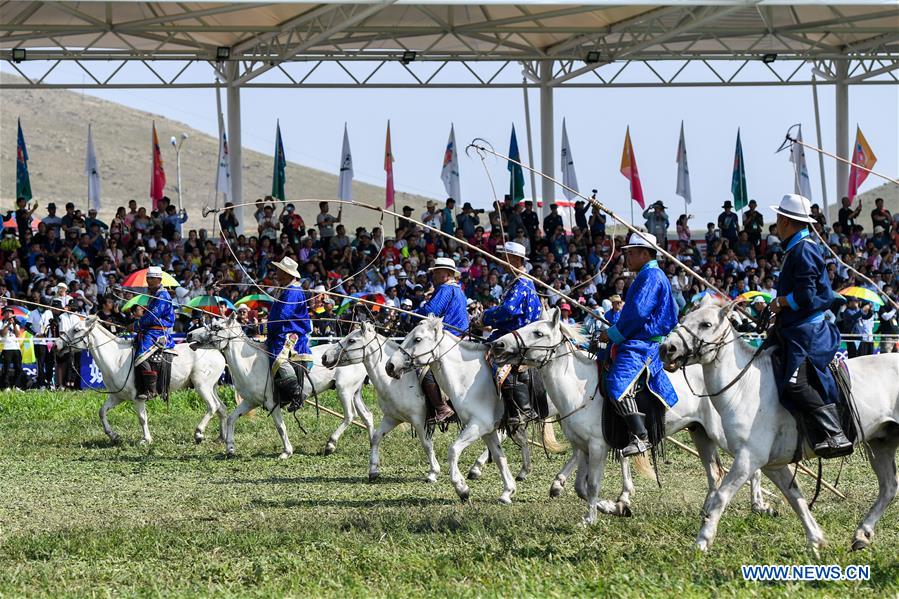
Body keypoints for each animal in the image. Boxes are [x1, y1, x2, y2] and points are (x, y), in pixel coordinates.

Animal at [57, 316, 229, 448]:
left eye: (76, 329)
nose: (58, 344)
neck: (116, 359)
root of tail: (216, 351)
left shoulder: (137, 397)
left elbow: (142, 418)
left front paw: (146, 439)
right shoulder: (117, 397)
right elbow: (102, 412)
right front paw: (113, 436)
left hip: (202, 386)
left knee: (212, 406)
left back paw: (199, 433)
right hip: (211, 387)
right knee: (221, 408)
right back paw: (222, 437)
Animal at [188, 316, 374, 462]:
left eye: (216, 327)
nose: (189, 335)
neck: (250, 364)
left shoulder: (272, 403)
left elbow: (280, 426)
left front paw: (287, 452)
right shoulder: (250, 402)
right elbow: (232, 418)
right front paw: (230, 449)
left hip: (344, 390)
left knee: (350, 416)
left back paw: (330, 444)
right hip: (355, 392)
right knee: (367, 416)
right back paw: (373, 443)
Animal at [488, 310, 776, 524]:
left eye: (538, 332)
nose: (498, 344)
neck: (579, 389)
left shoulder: (597, 446)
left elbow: (592, 486)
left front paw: (591, 519)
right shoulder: (583, 447)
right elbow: (581, 488)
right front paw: (615, 507)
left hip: (723, 435)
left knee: (752, 465)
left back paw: (760, 505)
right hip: (700, 433)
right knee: (715, 473)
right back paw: (709, 511)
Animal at [660, 298, 899, 556]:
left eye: (706, 324)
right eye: (683, 320)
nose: (667, 348)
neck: (743, 386)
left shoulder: (748, 458)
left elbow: (722, 496)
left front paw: (702, 541)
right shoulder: (772, 465)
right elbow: (795, 497)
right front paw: (816, 539)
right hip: (881, 444)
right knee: (888, 487)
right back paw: (862, 534)